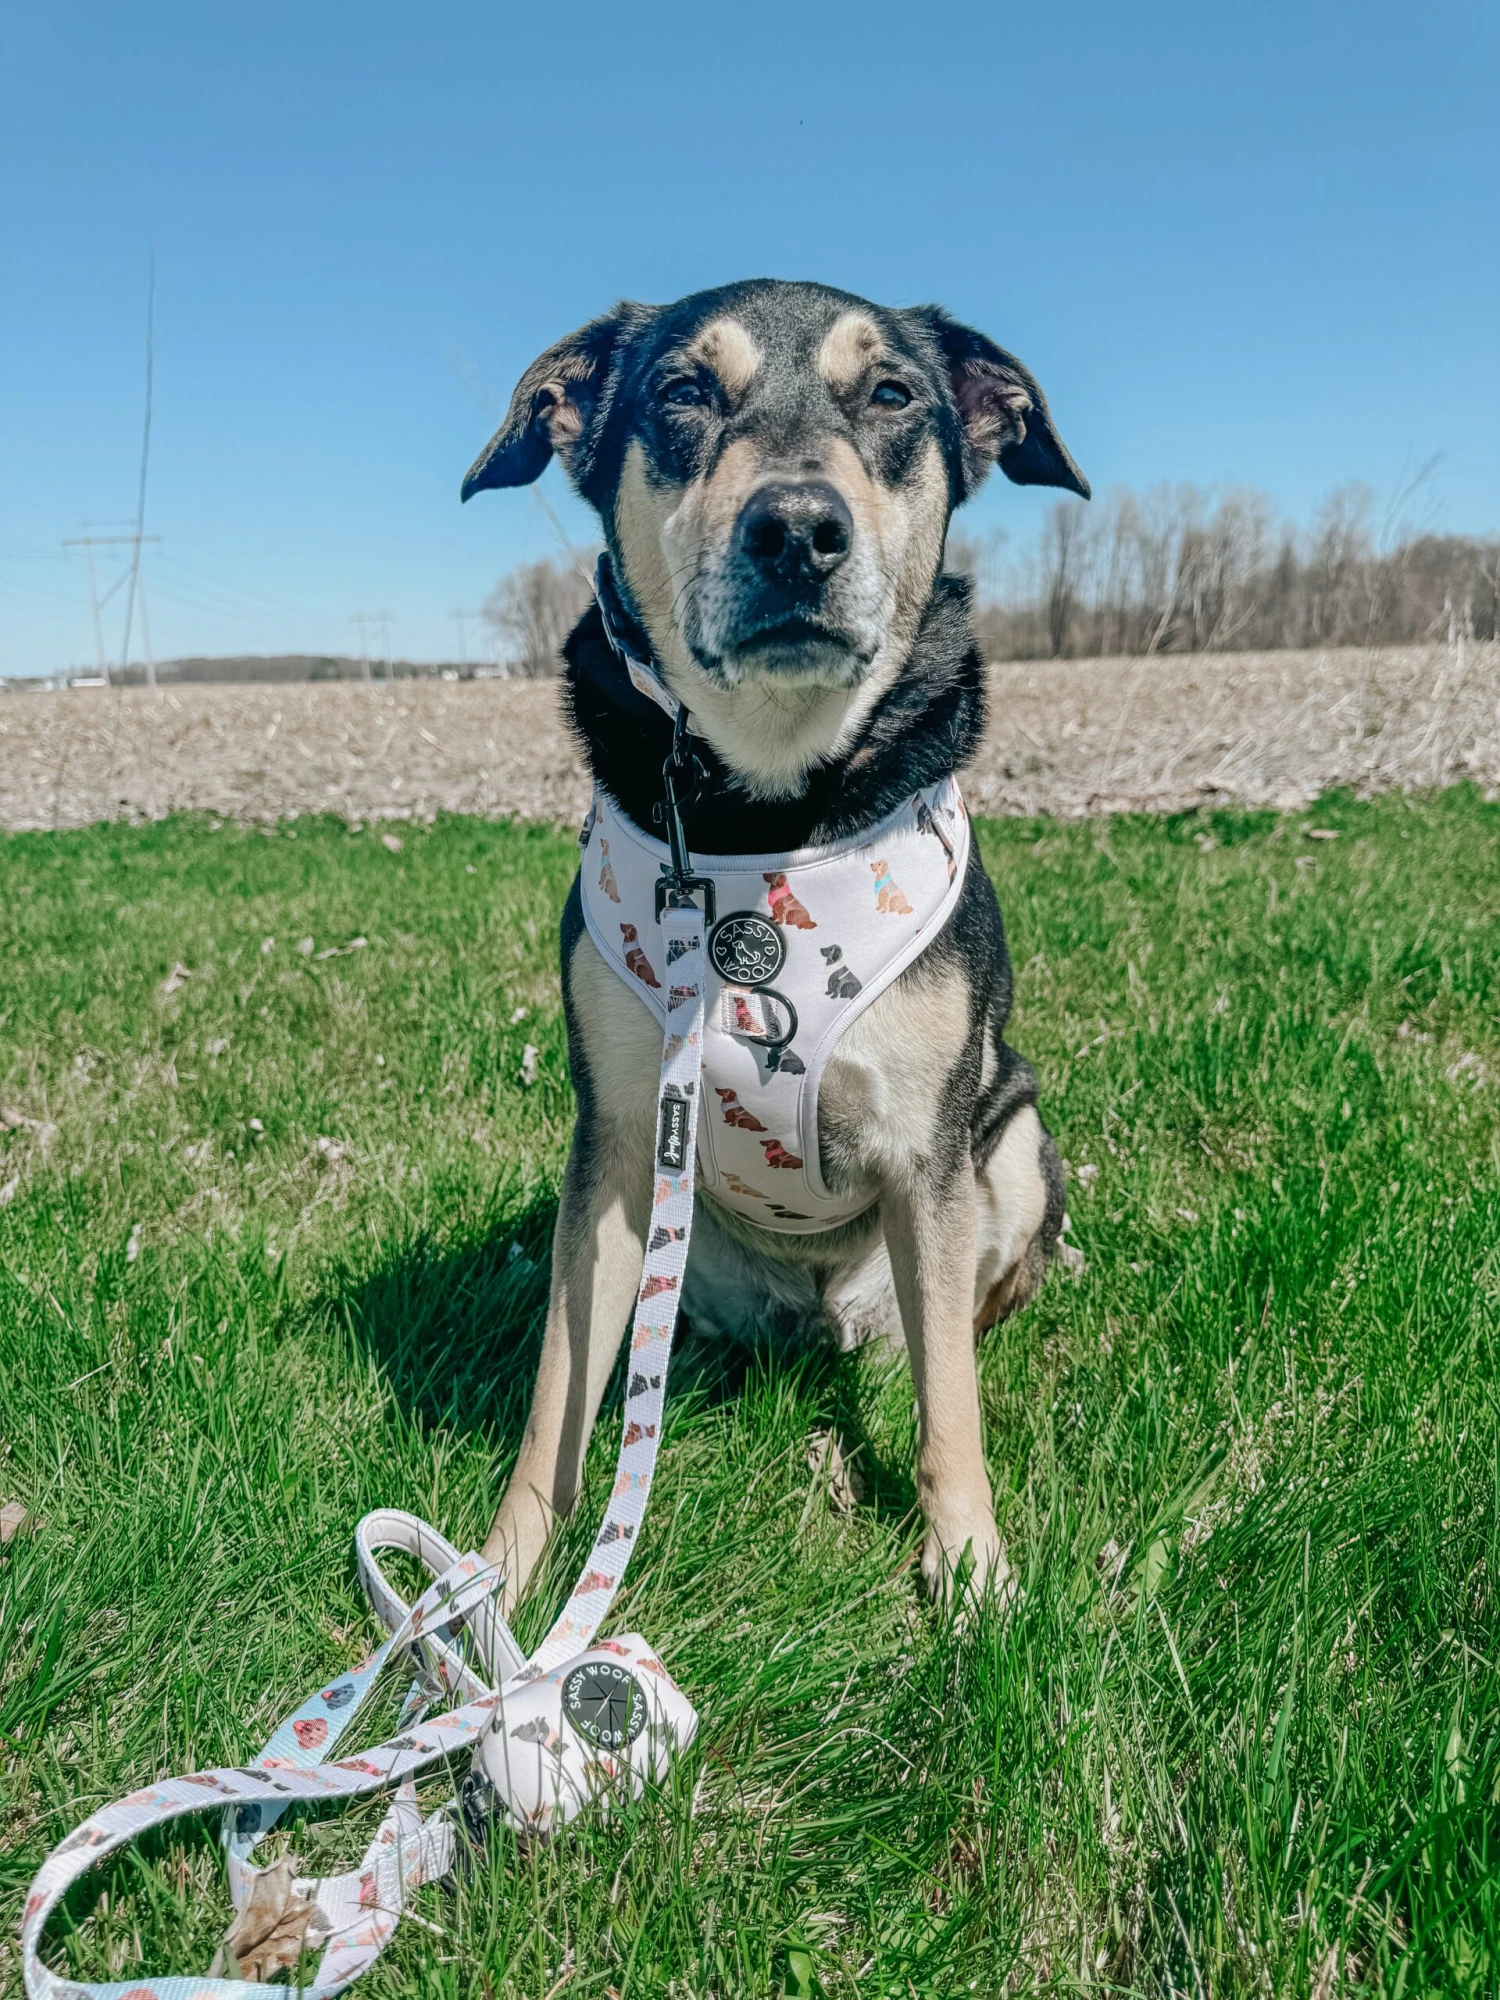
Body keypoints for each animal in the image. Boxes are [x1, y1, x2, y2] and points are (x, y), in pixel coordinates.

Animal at [461, 280, 1087, 1604]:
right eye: (683, 393)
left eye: (893, 392)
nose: (797, 528)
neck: (765, 802)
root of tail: (817, 1319)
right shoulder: (613, 1142)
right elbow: (557, 1386)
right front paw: (502, 1570)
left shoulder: (930, 1146)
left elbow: (953, 1404)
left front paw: (969, 1567)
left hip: (1014, 1145)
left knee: (950, 1330)